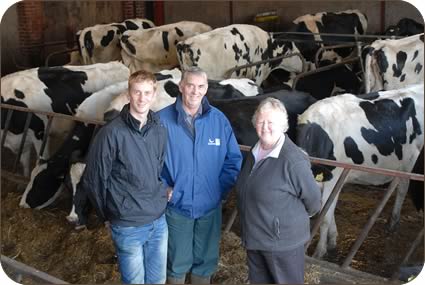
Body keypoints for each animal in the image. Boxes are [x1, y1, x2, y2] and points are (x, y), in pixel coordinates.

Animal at [296, 82, 422, 258]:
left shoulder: (333, 178)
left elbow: (325, 216)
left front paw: (320, 251)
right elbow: (329, 211)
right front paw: (332, 241)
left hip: (412, 159)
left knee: (403, 187)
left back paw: (393, 222)